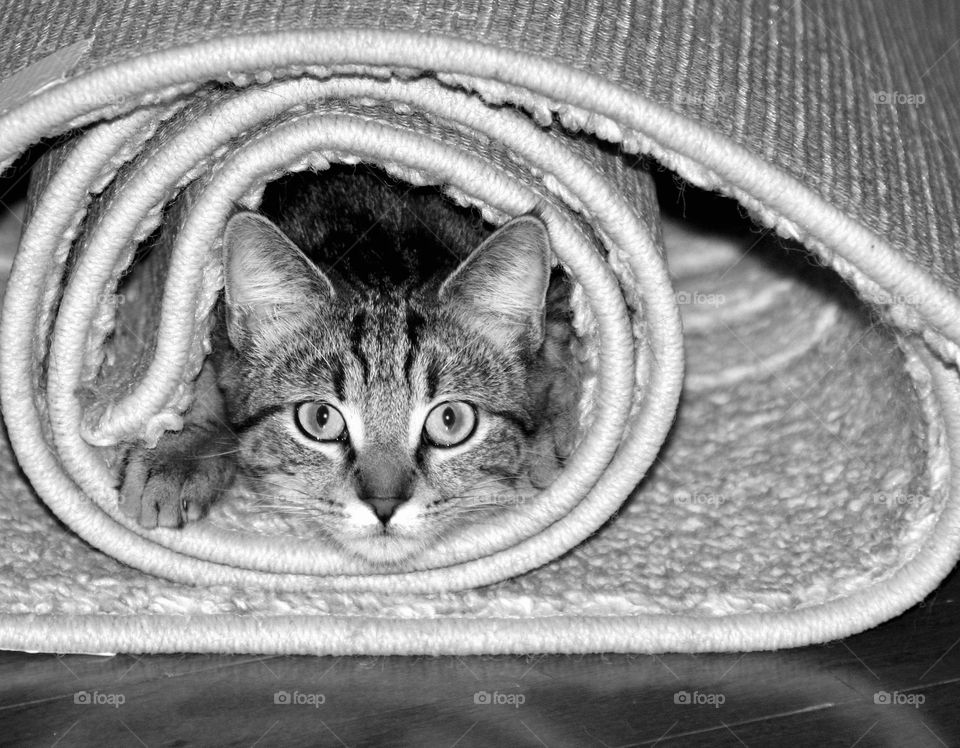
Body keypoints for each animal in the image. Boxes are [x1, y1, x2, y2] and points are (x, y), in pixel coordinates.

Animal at [116, 167, 572, 564]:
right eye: (321, 418)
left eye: (450, 420)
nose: (384, 505)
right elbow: (203, 374)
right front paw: (178, 452)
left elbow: (558, 348)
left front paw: (550, 433)